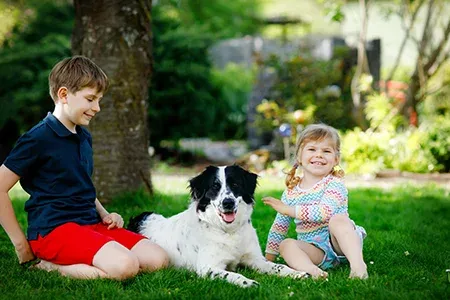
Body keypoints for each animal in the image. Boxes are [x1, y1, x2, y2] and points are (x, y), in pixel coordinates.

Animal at [128, 165, 308, 288]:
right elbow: (233, 275)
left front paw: (297, 273)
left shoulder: (255, 259)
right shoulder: (208, 267)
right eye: (215, 186)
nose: (228, 203)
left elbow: (278, 266)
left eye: (235, 184)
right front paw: (249, 283)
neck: (229, 231)